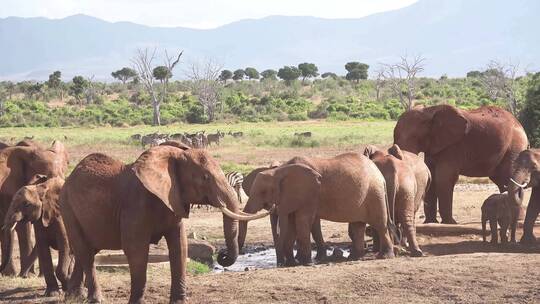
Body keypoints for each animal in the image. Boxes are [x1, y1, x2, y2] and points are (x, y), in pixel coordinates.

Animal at [60, 146, 270, 302]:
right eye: (205, 178)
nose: (222, 255)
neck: (173, 157)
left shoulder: (173, 200)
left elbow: (180, 246)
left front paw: (179, 301)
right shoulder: (135, 204)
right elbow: (136, 249)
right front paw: (136, 302)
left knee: (86, 250)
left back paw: (75, 297)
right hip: (67, 208)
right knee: (85, 251)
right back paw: (94, 299)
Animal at [238, 152, 394, 266]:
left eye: (263, 192)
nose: (280, 264)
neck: (280, 170)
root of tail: (380, 175)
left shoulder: (309, 193)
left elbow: (301, 221)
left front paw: (305, 262)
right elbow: (293, 223)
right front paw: (294, 262)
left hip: (375, 193)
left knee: (380, 224)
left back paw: (384, 256)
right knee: (358, 226)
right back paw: (354, 257)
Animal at [392, 105, 528, 224]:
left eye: (415, 137)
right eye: (395, 136)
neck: (429, 110)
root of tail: (519, 124)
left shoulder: (452, 147)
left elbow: (444, 178)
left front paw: (449, 223)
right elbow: (432, 176)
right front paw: (430, 222)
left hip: (514, 147)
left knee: (509, 178)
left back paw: (518, 219)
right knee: (502, 181)